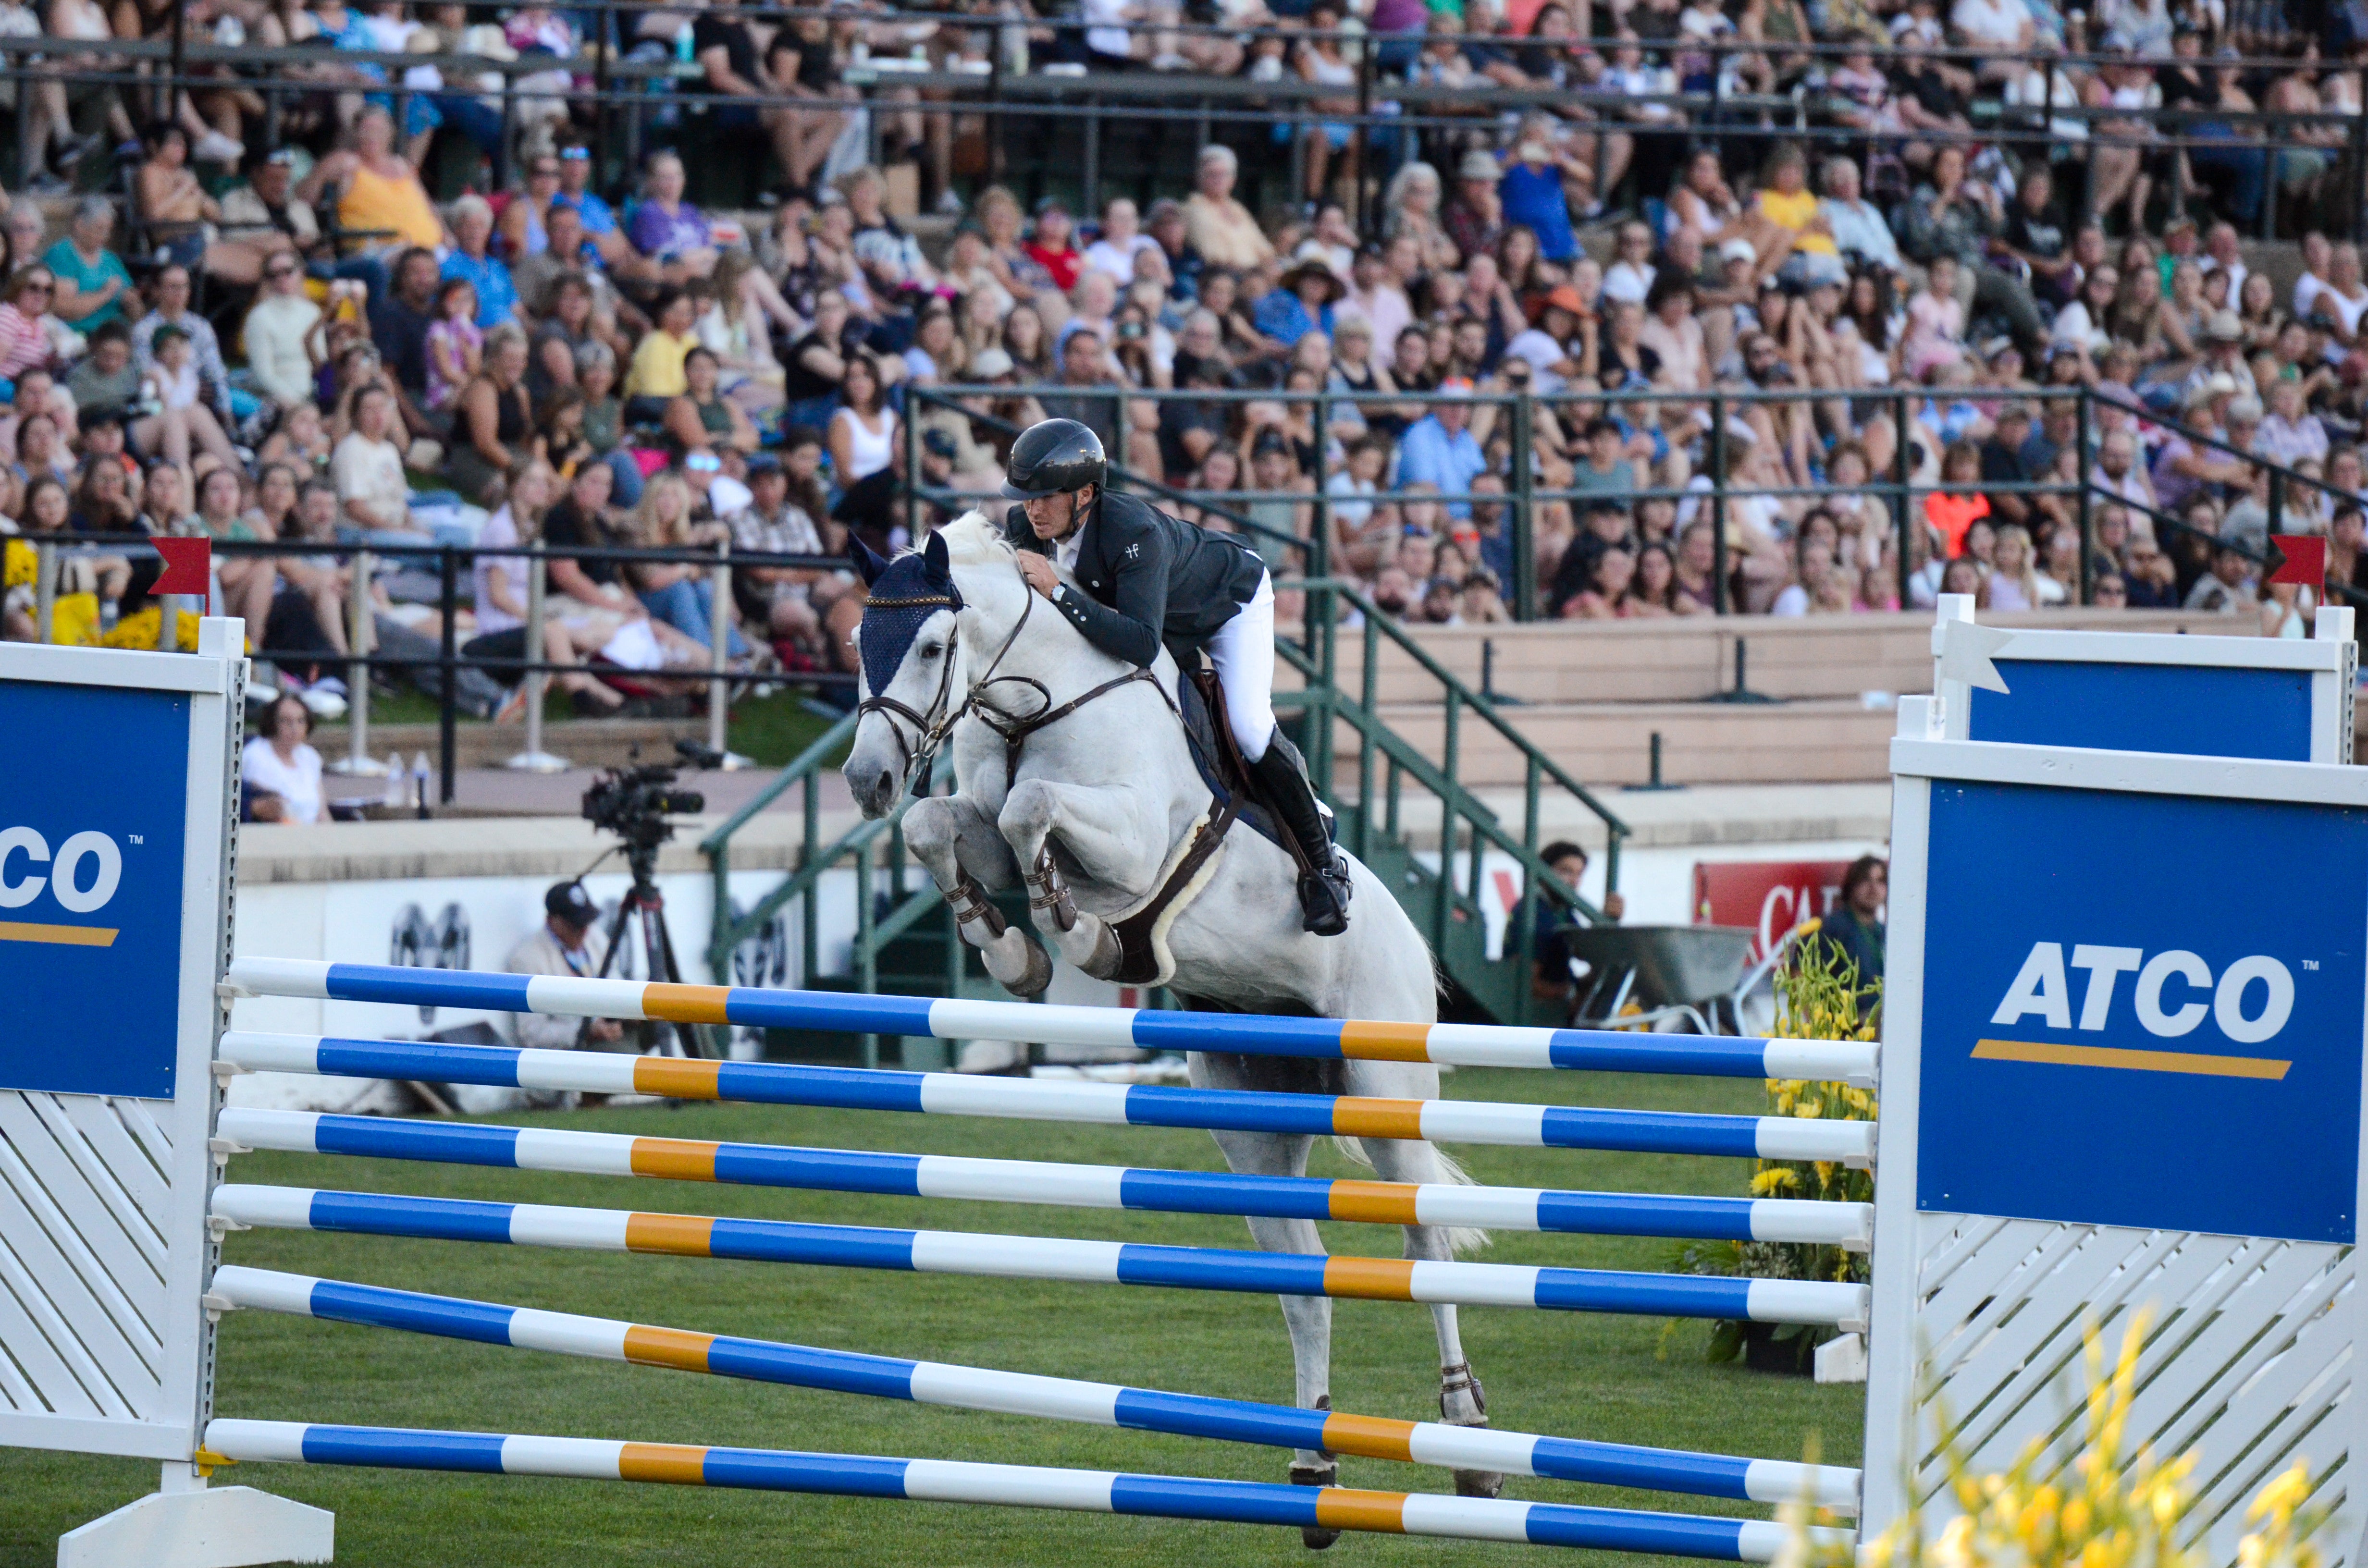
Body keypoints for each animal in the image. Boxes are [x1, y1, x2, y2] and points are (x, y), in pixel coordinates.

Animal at [848, 516, 1496, 1534]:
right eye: (855, 642)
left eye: (928, 645)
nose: (867, 779)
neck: (1037, 702)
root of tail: (1411, 940)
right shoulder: (981, 822)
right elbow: (944, 827)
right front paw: (1011, 951)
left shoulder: (1129, 842)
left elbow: (1035, 814)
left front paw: (1077, 932)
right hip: (1251, 1115)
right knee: (1303, 1281)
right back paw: (1312, 1460)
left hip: (1387, 1091)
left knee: (1422, 1251)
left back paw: (1467, 1436)